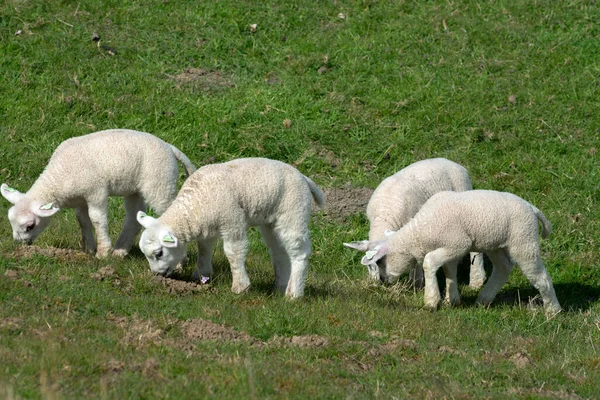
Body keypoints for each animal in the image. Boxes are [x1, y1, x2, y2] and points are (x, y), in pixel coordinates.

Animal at [0, 130, 197, 258]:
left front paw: (102, 252)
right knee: (134, 217)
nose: (20, 244)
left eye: (30, 226)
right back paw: (120, 251)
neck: (59, 176)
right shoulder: (80, 198)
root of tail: (169, 147)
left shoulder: (96, 192)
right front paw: (89, 249)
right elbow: (82, 220)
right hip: (134, 188)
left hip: (160, 182)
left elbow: (97, 219)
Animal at [135, 158, 326, 298]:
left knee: (299, 253)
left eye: (159, 253)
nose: (157, 275)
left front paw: (240, 287)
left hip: (294, 211)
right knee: (279, 252)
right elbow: (204, 250)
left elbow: (233, 253)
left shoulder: (232, 220)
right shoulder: (207, 227)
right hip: (271, 222)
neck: (195, 205)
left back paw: (294, 294)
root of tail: (303, 178)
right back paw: (278, 288)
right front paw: (200, 276)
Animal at [344, 158, 486, 290]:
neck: (384, 216)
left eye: (382, 262)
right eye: (369, 265)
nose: (380, 283)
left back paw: (477, 281)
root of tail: (453, 163)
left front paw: (416, 284)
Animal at [346, 191, 564, 316]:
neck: (421, 233)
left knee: (540, 276)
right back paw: (483, 299)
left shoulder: (457, 243)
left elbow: (429, 262)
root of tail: (533, 208)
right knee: (503, 268)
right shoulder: (450, 246)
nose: (383, 282)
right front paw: (452, 299)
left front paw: (431, 301)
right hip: (494, 243)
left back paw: (553, 311)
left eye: (380, 262)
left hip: (523, 240)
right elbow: (449, 270)